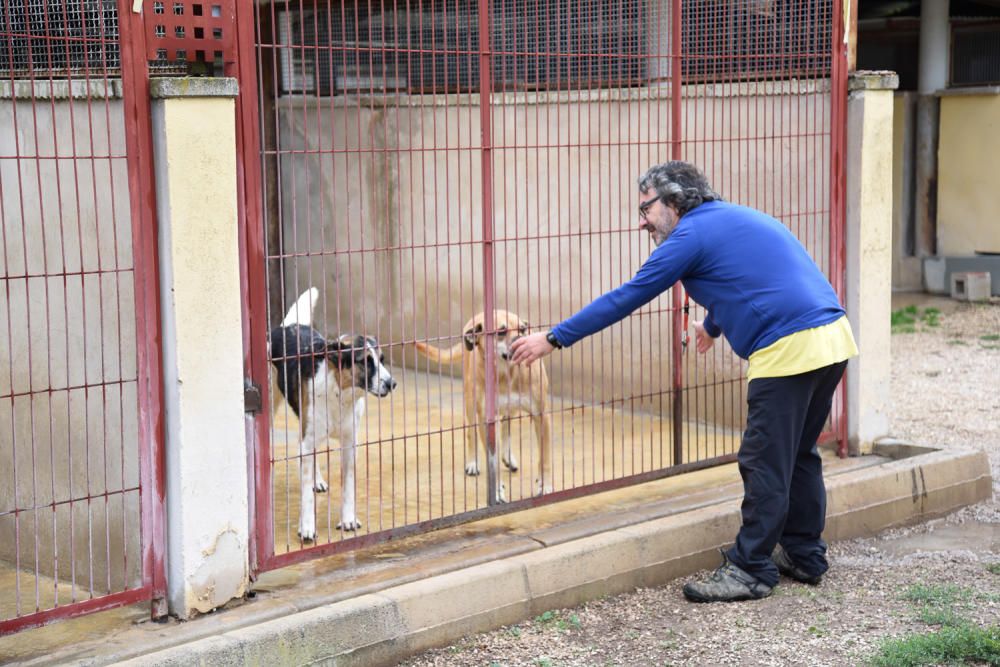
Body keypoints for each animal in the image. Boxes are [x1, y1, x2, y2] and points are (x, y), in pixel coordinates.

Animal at [268, 290, 396, 540]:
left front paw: (348, 519)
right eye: (365, 361)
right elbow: (306, 496)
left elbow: (348, 486)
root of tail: (288, 326)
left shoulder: (349, 444)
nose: (391, 383)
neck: (340, 394)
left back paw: (316, 480)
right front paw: (307, 526)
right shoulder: (309, 438)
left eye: (382, 359)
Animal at [414, 310, 556, 504]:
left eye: (522, 329)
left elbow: (545, 457)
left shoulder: (542, 416)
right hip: (471, 403)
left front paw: (546, 485)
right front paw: (496, 492)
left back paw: (508, 456)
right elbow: (492, 464)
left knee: (506, 425)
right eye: (501, 332)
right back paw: (473, 462)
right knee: (471, 433)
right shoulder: (487, 421)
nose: (521, 339)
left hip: (510, 409)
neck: (507, 373)